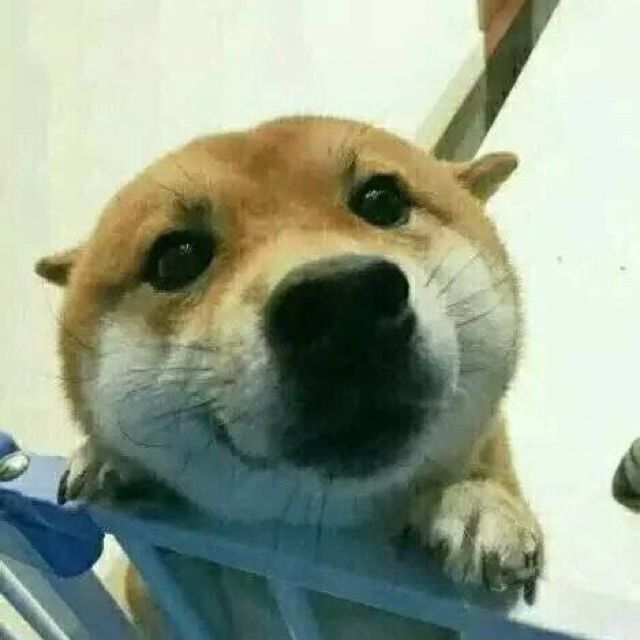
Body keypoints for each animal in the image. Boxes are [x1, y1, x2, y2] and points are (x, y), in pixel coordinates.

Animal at [36, 116, 542, 637]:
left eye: (381, 200)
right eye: (176, 257)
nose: (343, 300)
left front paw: (473, 500)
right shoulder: (160, 600)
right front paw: (115, 462)